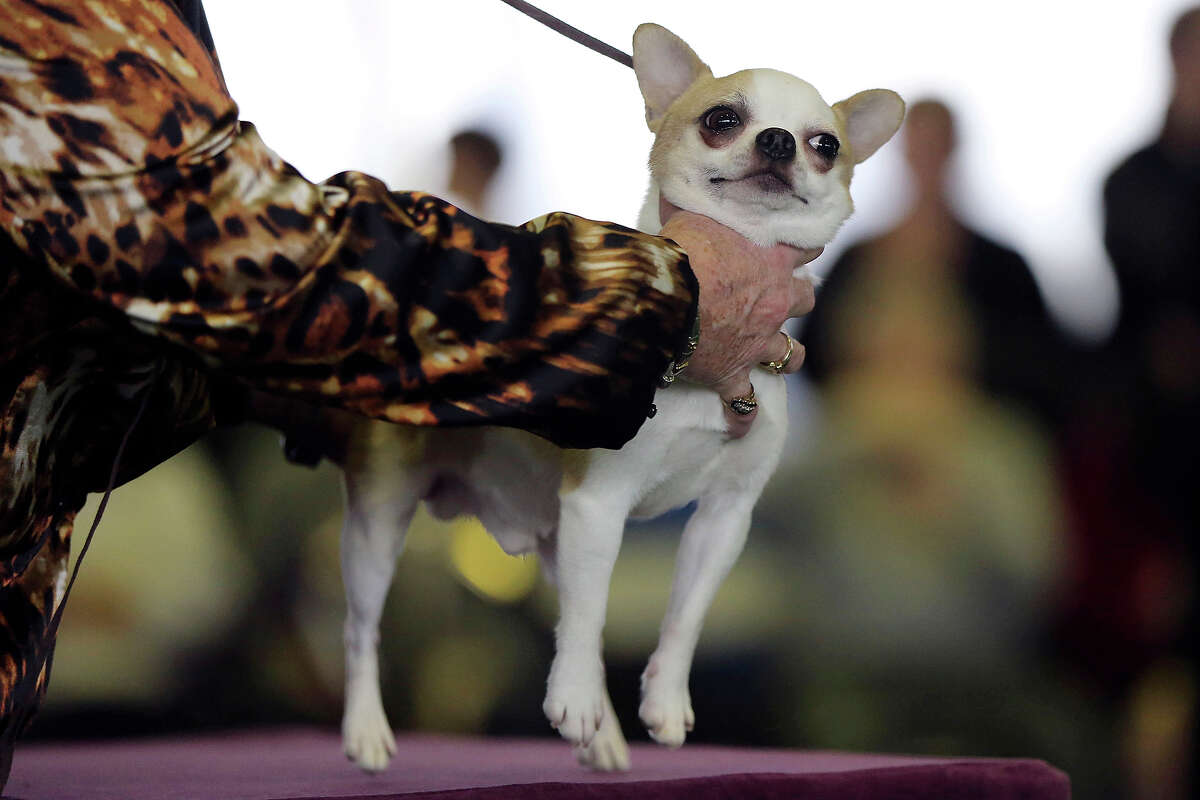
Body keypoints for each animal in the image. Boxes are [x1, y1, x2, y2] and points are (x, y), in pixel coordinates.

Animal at [338, 21, 902, 777]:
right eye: (722, 120)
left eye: (826, 144)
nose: (781, 140)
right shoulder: (598, 505)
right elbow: (589, 619)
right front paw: (574, 701)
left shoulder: (723, 518)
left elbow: (684, 614)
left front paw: (662, 699)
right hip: (380, 519)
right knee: (361, 628)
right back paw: (367, 729)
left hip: (552, 535)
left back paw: (602, 736)